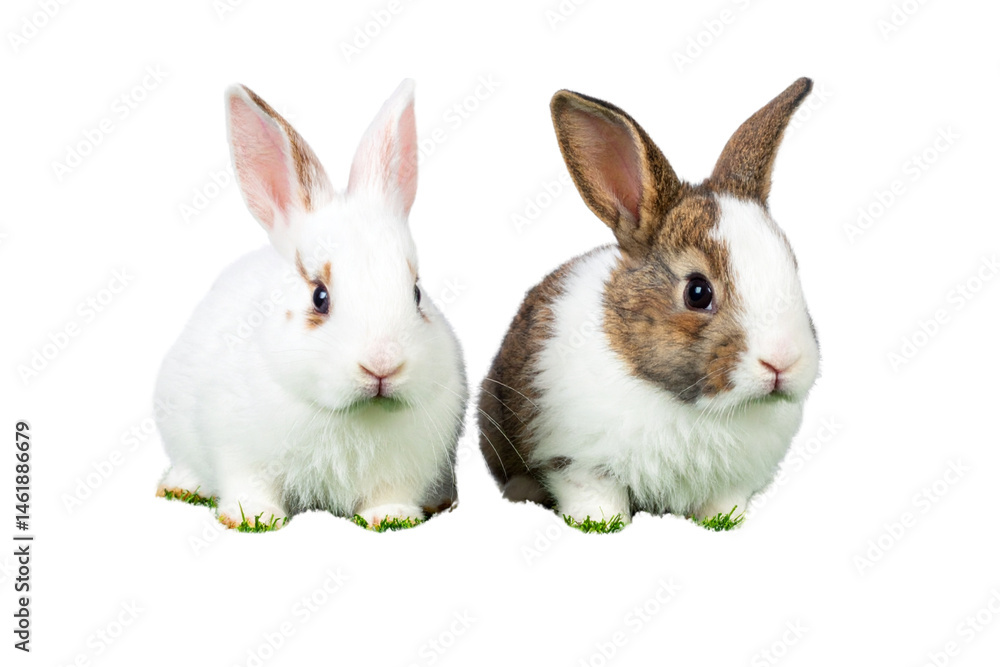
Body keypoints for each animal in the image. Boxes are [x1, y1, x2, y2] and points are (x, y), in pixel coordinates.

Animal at [155, 79, 468, 529]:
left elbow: (390, 494)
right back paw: (182, 486)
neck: (348, 415)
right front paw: (254, 517)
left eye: (416, 293)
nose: (382, 365)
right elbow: (249, 485)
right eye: (320, 297)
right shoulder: (240, 455)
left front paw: (389, 516)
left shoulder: (406, 469)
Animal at [478, 78, 820, 526]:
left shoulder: (732, 484)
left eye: (793, 268)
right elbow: (595, 498)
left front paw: (722, 525)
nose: (783, 362)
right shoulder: (581, 468)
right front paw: (601, 526)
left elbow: (721, 505)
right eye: (698, 292)